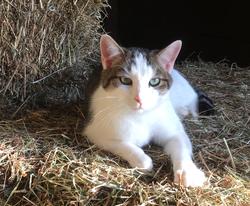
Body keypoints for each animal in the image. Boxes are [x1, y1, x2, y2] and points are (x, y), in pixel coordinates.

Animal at [83, 35, 206, 187]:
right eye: (125, 80)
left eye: (154, 82)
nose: (140, 99)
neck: (140, 116)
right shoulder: (95, 132)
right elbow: (121, 144)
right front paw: (141, 159)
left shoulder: (175, 132)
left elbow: (181, 145)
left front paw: (187, 171)